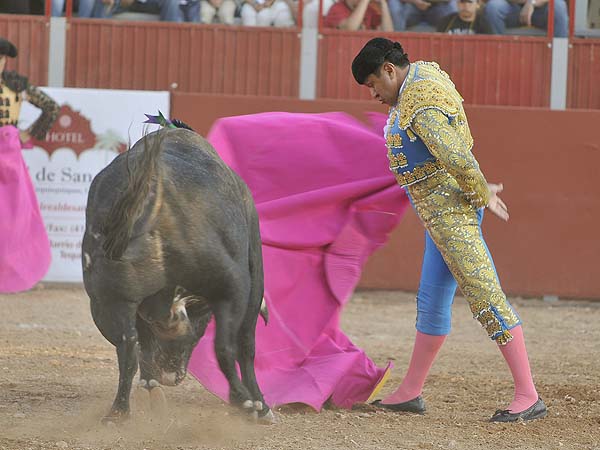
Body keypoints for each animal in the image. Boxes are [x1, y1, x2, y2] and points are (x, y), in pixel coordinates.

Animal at [81, 128, 272, 424]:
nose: (171, 374)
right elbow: (244, 345)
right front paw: (259, 404)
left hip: (107, 301)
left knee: (128, 347)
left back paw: (120, 410)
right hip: (233, 284)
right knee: (228, 346)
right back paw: (249, 403)